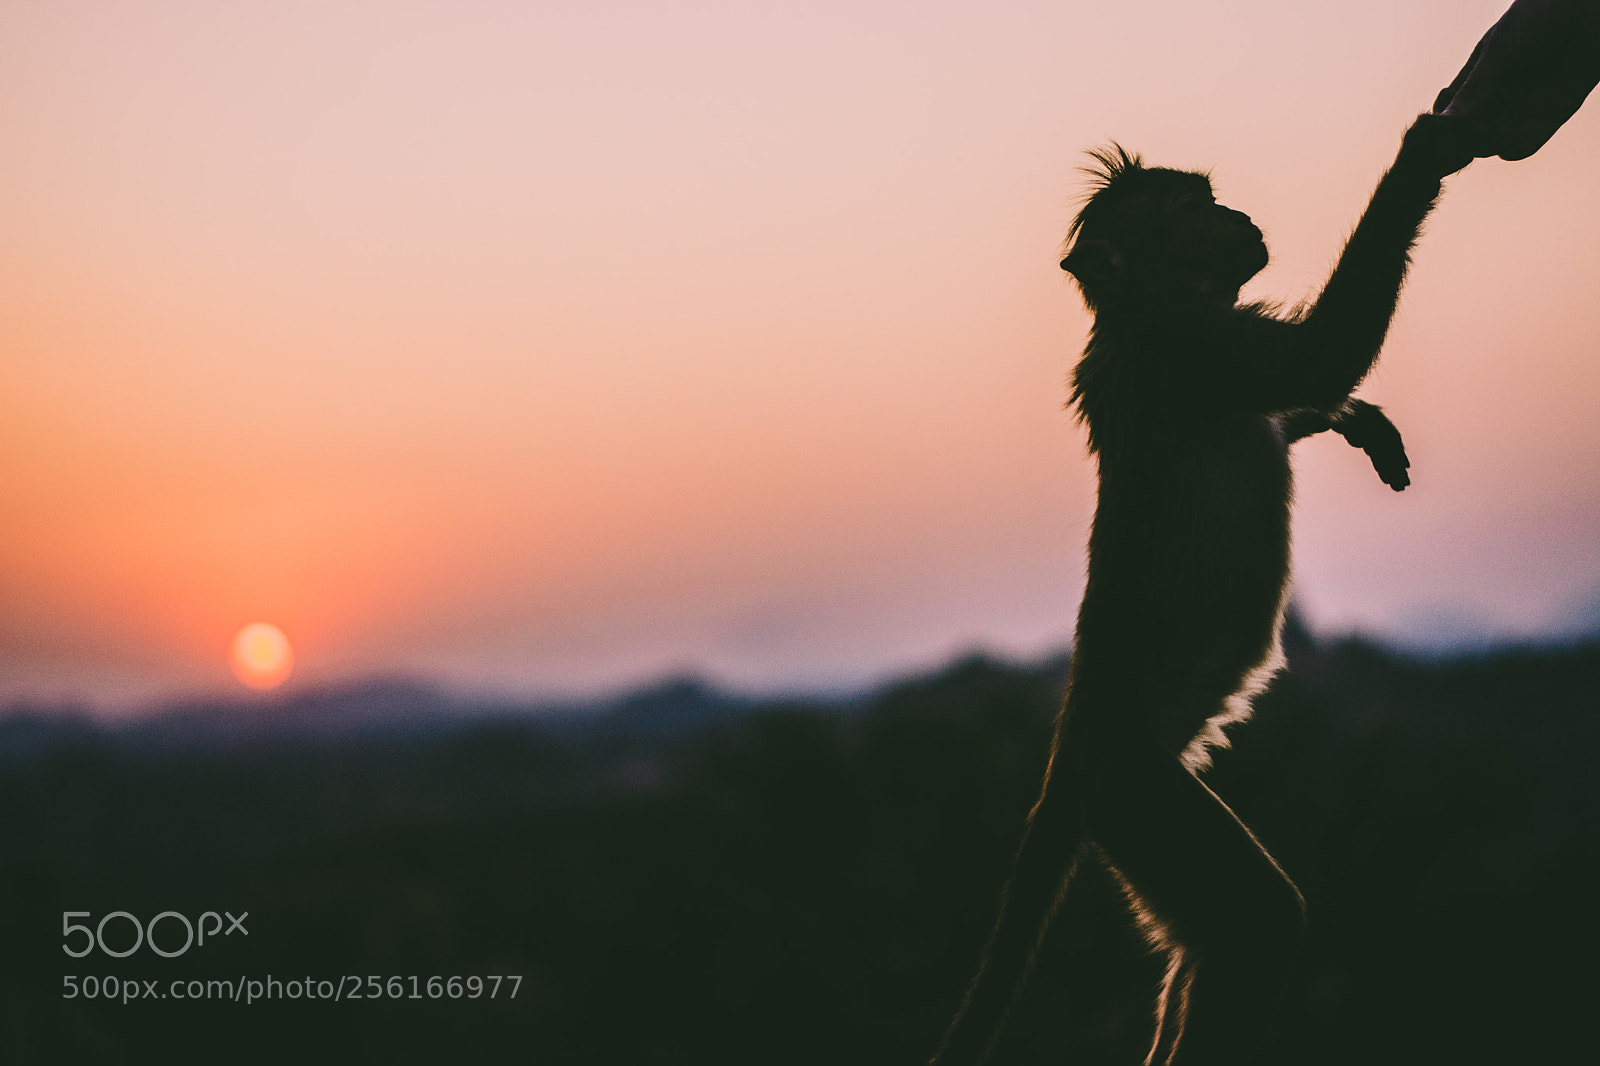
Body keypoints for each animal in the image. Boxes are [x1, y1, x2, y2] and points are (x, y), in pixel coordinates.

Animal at [930, 114, 1472, 1066]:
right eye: (1193, 210)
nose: (1241, 217)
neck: (1143, 311)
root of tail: (1069, 753)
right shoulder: (1192, 348)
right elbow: (1316, 361)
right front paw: (1421, 160)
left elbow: (1300, 397)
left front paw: (1352, 421)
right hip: (1135, 793)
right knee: (1257, 922)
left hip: (1135, 816)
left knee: (1209, 939)